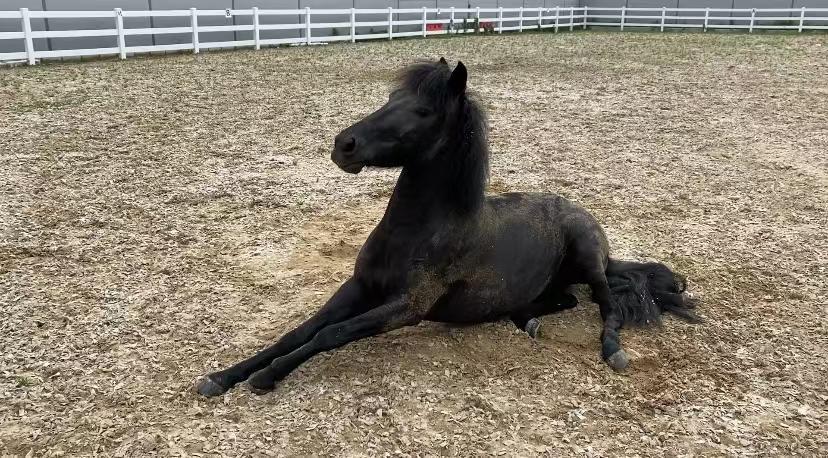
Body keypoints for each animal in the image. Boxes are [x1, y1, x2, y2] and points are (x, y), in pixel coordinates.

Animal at [196, 58, 700, 398]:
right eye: (391, 99)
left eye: (422, 111)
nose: (344, 145)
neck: (414, 232)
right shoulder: (358, 287)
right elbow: (300, 331)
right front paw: (222, 377)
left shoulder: (407, 307)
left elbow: (329, 335)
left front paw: (266, 377)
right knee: (564, 299)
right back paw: (527, 318)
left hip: (588, 257)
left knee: (606, 304)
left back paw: (612, 349)